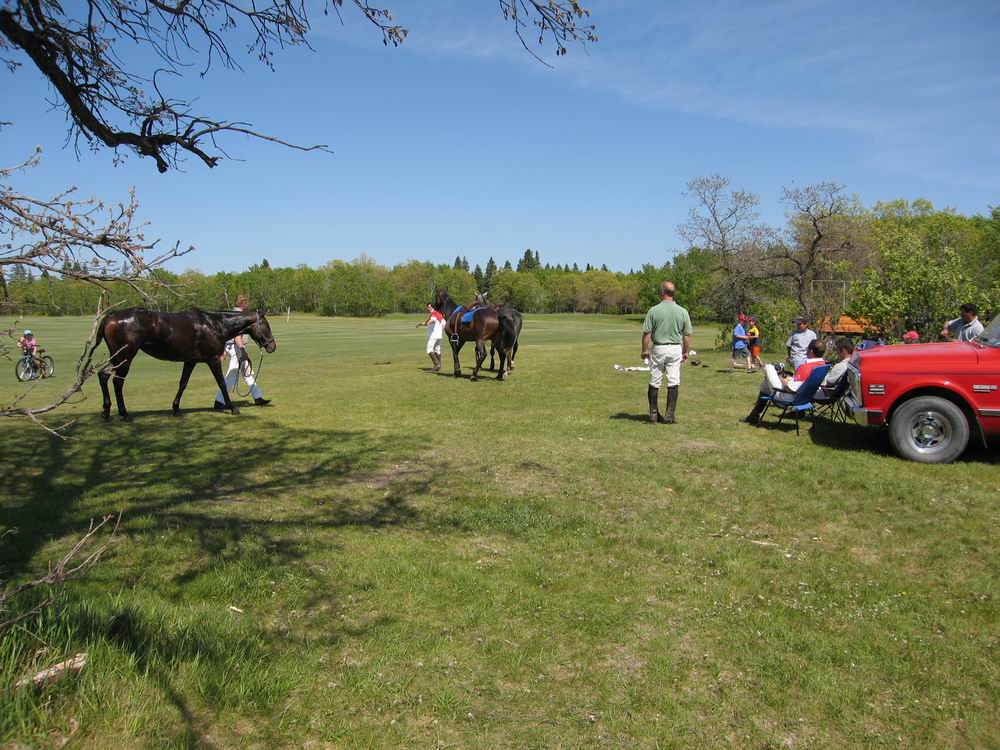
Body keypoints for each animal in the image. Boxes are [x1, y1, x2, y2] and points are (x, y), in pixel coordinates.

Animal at [96, 306, 276, 424]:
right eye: (266, 325)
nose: (272, 346)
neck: (214, 324)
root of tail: (111, 316)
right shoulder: (213, 360)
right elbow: (222, 383)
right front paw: (232, 408)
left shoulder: (190, 361)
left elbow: (183, 383)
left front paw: (176, 409)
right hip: (125, 357)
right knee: (117, 382)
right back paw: (124, 414)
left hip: (116, 357)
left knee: (103, 375)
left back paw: (106, 411)